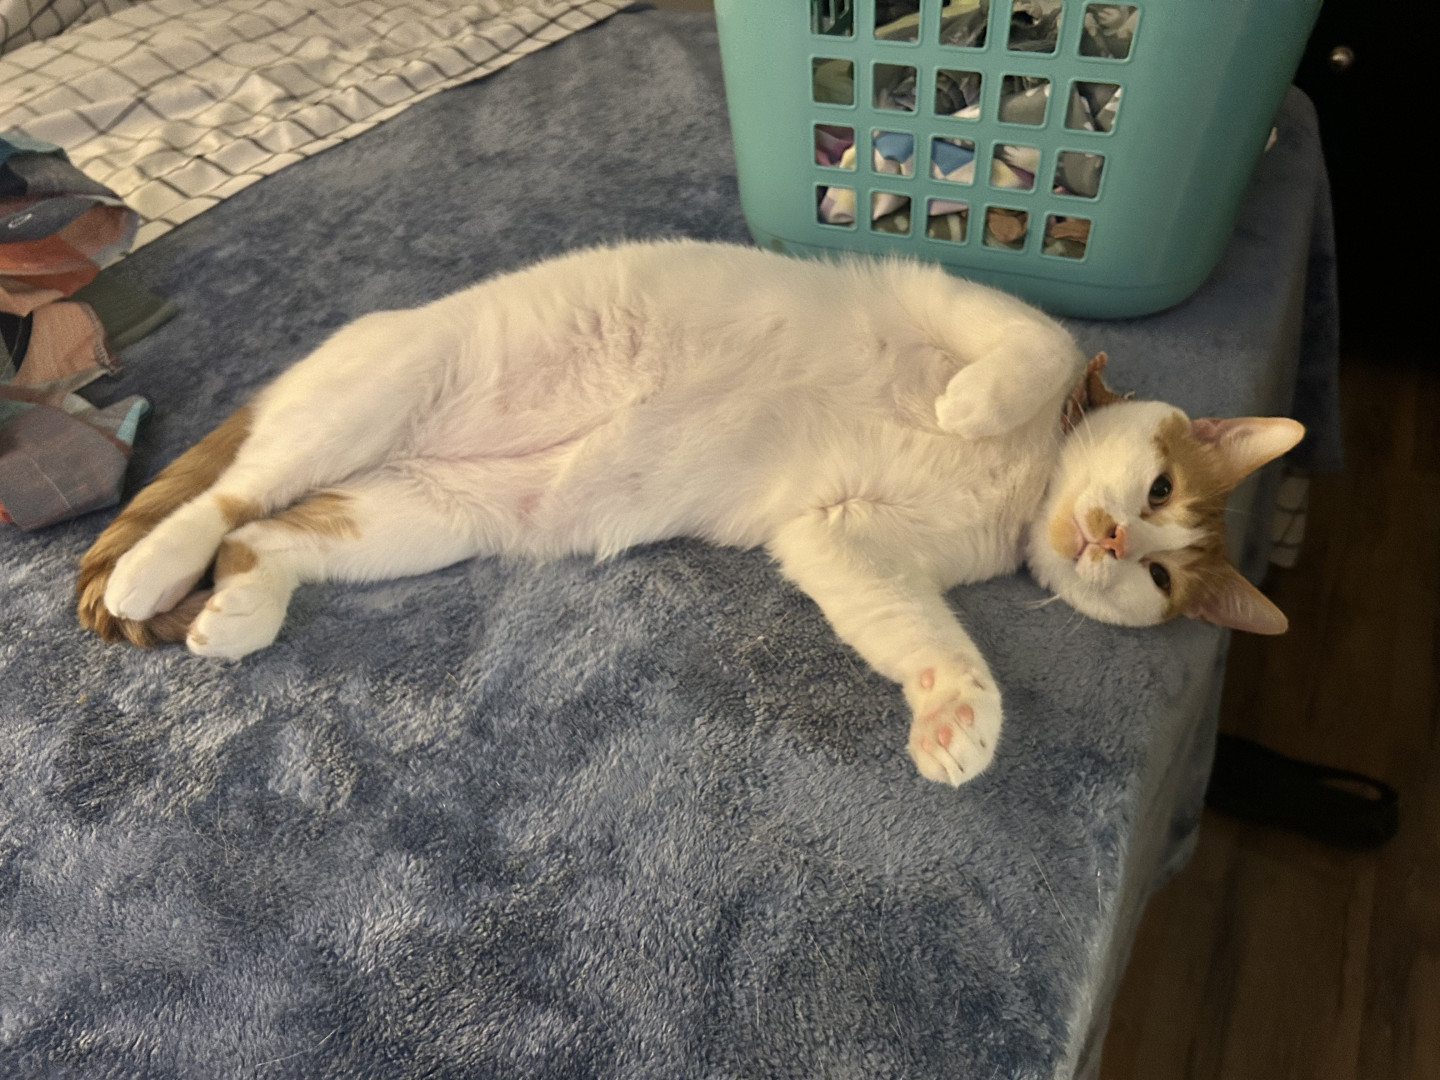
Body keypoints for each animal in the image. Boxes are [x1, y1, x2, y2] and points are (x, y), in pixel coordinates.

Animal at [76, 240, 1303, 786]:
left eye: (1159, 570)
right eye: (1158, 490)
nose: (1110, 537)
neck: (1025, 484)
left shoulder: (838, 536)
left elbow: (926, 637)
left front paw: (957, 713)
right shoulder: (958, 300)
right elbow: (1035, 345)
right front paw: (971, 402)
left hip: (425, 518)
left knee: (268, 534)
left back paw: (235, 609)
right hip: (373, 401)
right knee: (227, 496)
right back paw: (151, 569)